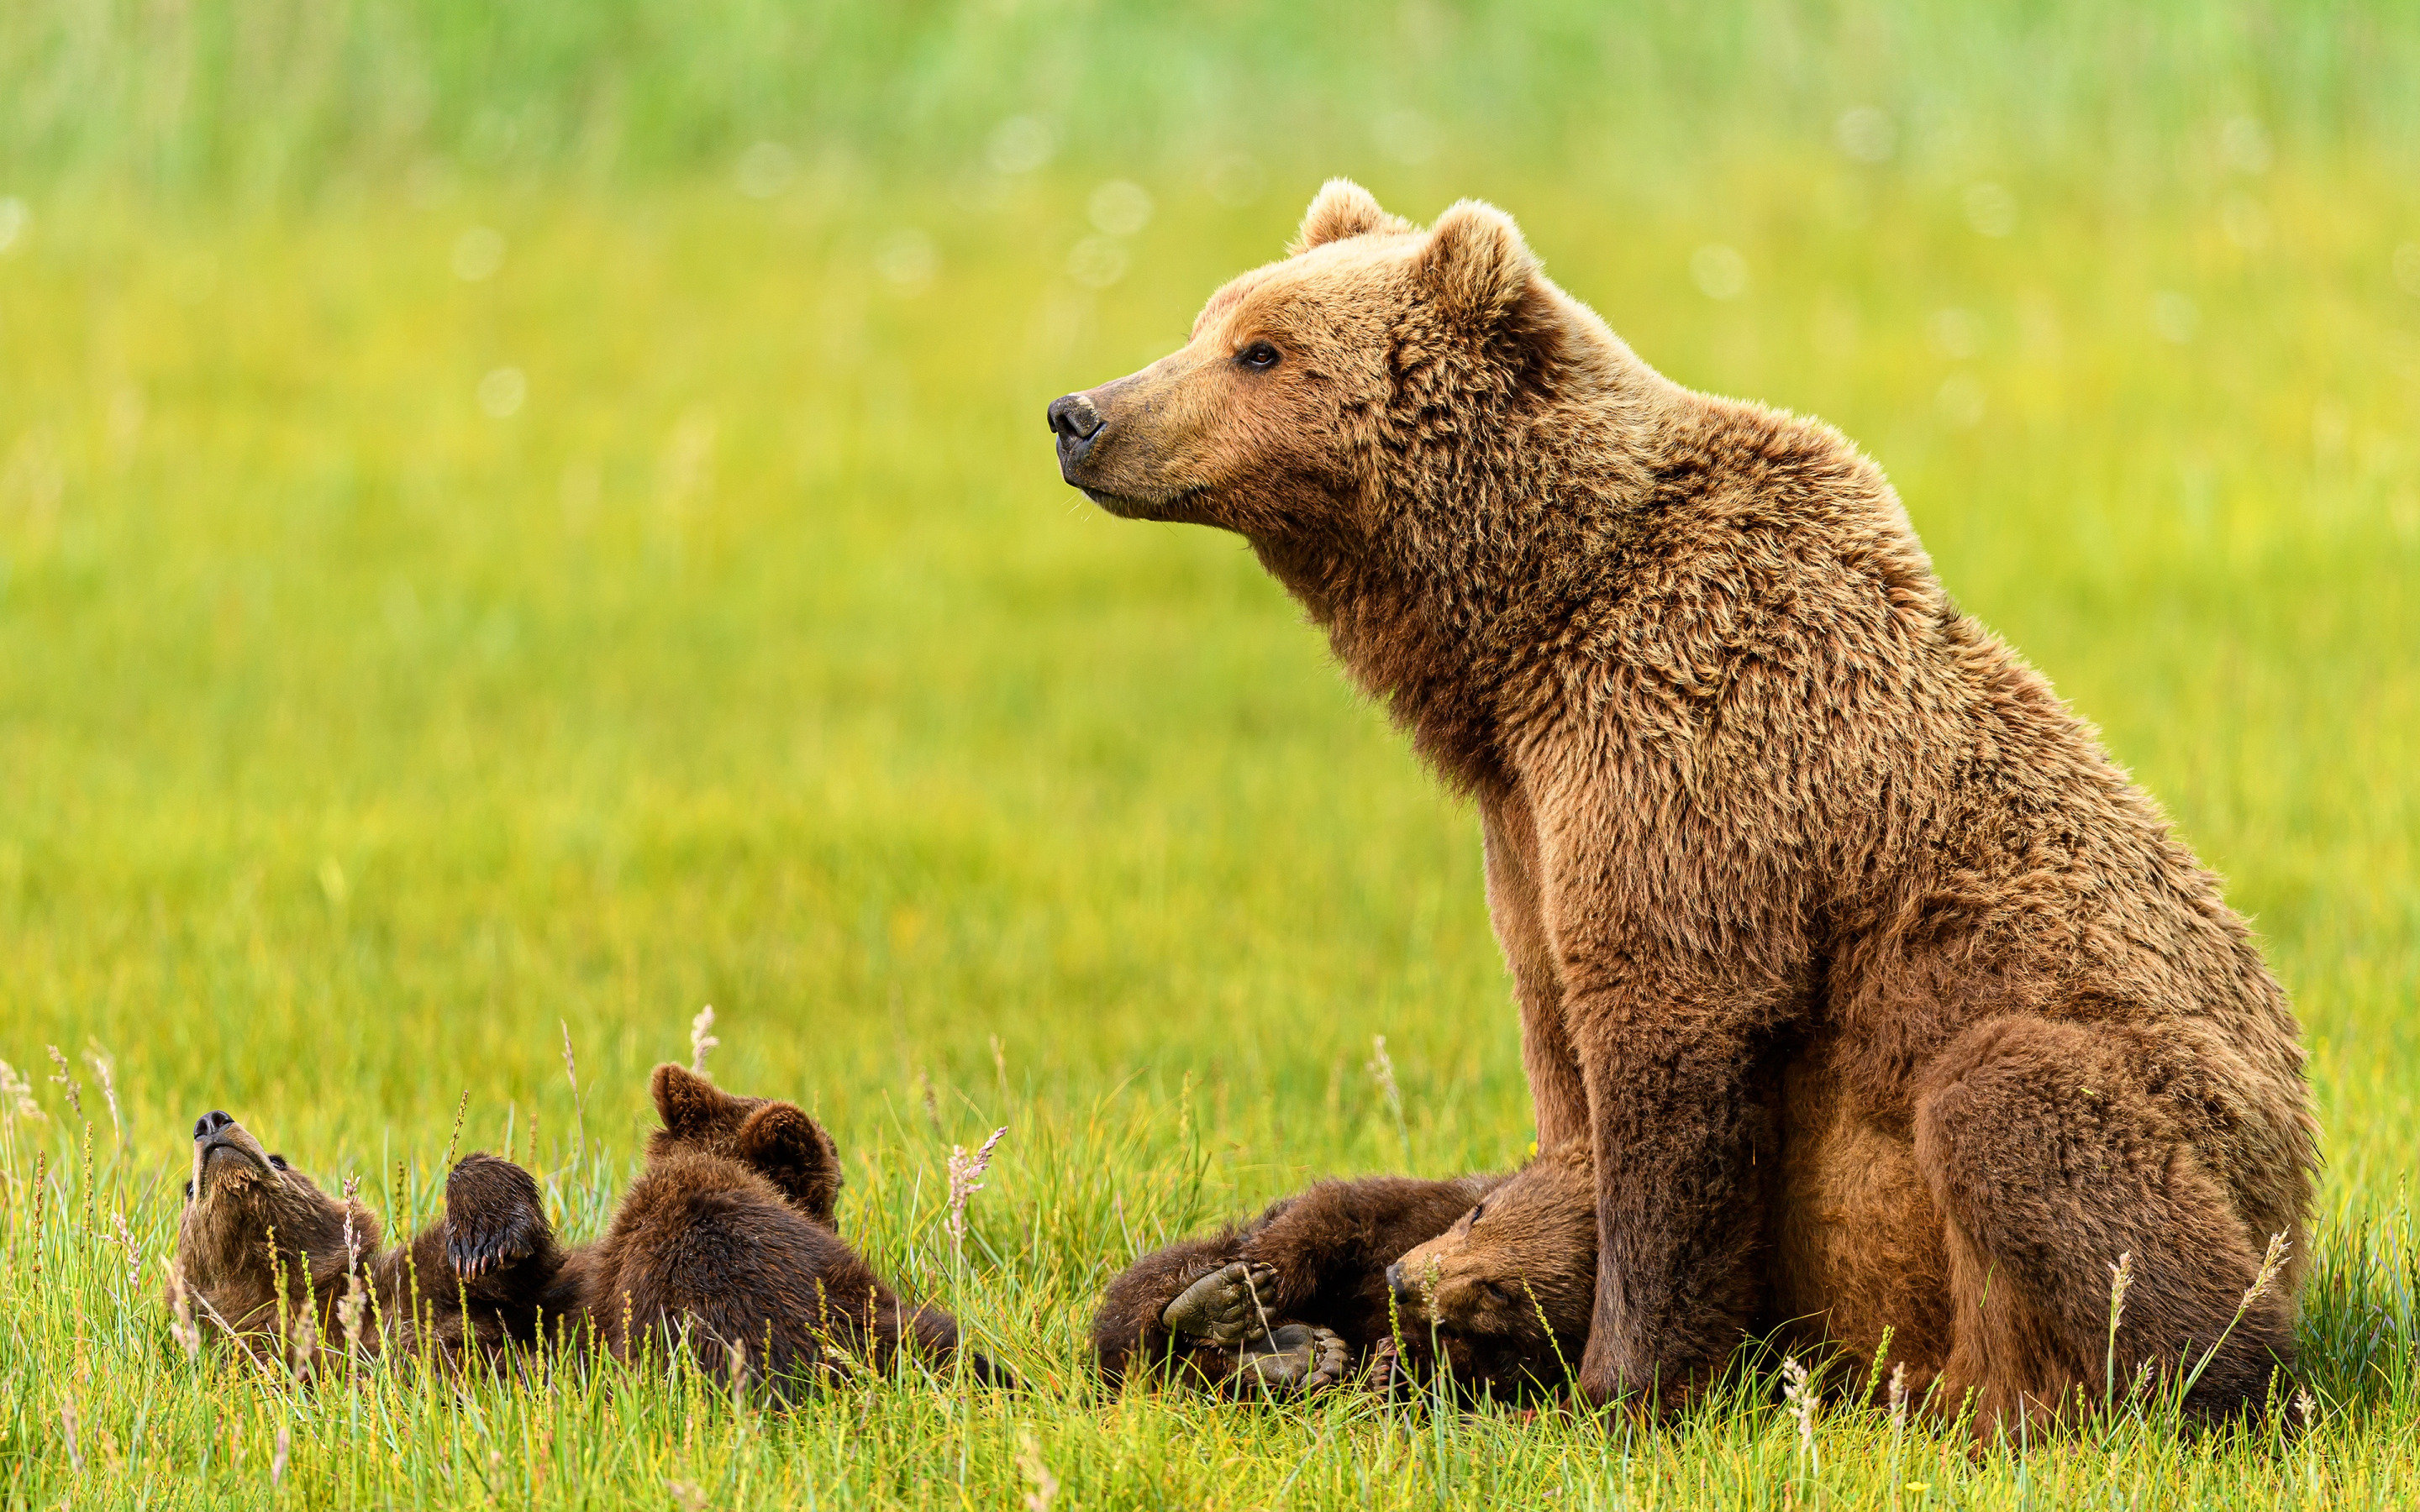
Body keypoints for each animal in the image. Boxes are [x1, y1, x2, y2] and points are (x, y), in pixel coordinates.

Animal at [1093, 1142, 1587, 1403]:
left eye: (1499, 1291)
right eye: (1478, 1216)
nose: (1400, 1281)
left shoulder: (1535, 1360)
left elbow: (1485, 1374)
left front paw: (1397, 1364)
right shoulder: (1423, 1206)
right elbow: (1336, 1211)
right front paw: (1245, 1291)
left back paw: (1302, 1355)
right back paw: (1227, 1310)